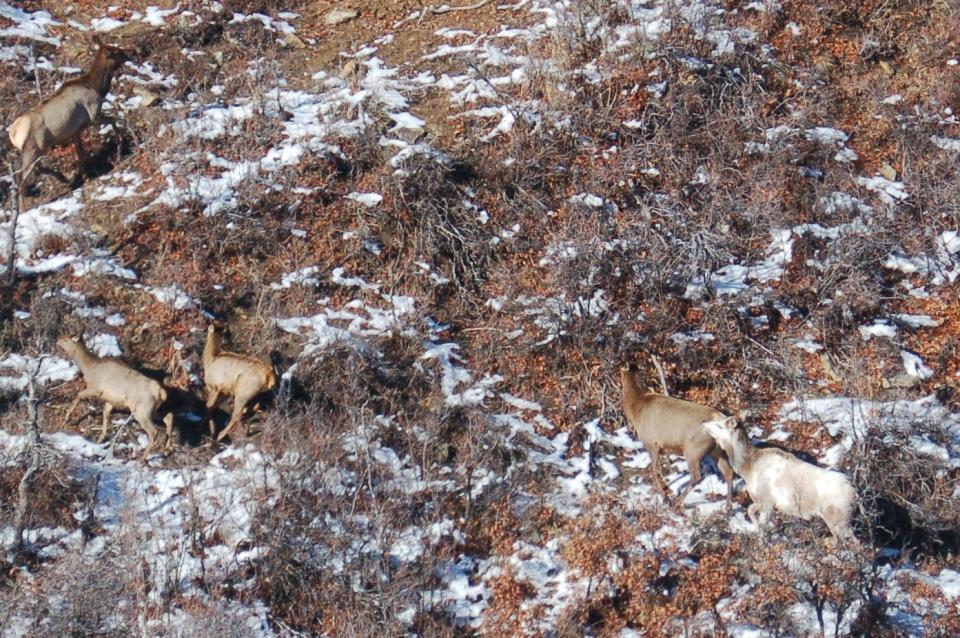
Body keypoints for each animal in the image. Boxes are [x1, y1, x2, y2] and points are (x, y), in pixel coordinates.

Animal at [8, 35, 133, 190]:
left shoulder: (75, 130)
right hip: (32, 149)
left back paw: (64, 179)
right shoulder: (92, 116)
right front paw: (120, 145)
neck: (97, 88)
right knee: (21, 176)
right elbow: (113, 120)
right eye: (116, 51)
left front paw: (85, 175)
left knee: (35, 170)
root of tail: (13, 134)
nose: (130, 53)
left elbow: (80, 152)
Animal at [620, 364, 732, 510]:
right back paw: (728, 507)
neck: (636, 410)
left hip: (693, 450)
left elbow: (654, 471)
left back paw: (677, 502)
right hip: (717, 450)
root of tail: (719, 419)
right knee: (729, 473)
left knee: (697, 476)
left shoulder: (652, 444)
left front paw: (664, 497)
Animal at [700, 416, 860, 544]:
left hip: (839, 519)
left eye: (720, 425)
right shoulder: (760, 500)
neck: (748, 469)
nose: (704, 423)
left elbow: (763, 528)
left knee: (855, 543)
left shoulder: (767, 501)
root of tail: (854, 492)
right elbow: (750, 511)